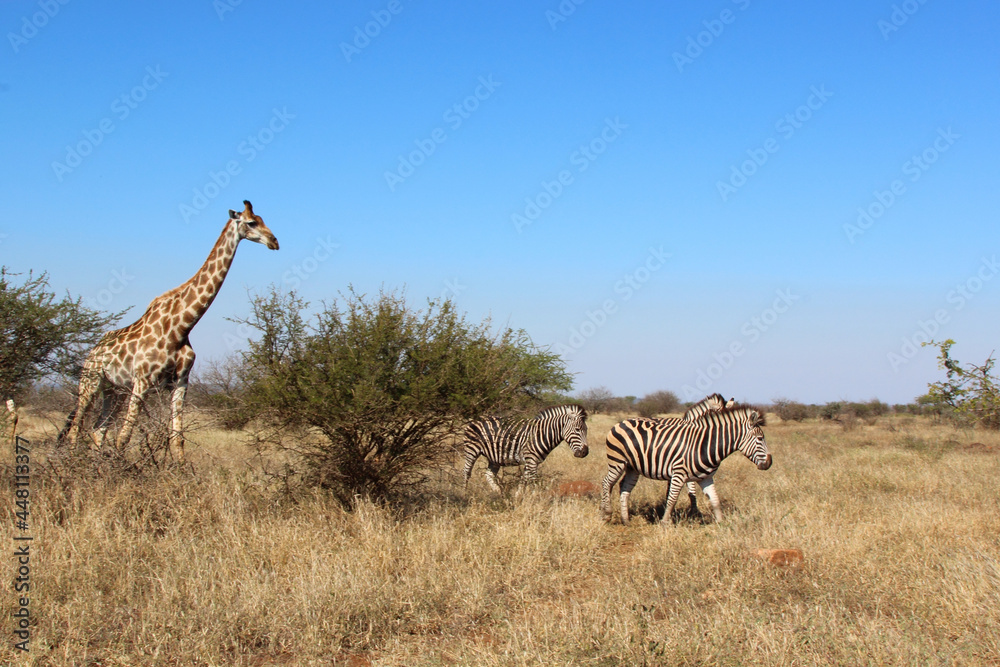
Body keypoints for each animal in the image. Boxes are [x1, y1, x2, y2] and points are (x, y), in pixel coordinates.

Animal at [64, 200, 279, 461]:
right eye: (251, 222)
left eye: (262, 219)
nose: (274, 241)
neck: (181, 327)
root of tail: (92, 351)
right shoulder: (142, 381)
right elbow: (123, 438)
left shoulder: (180, 382)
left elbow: (177, 438)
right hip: (91, 383)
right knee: (76, 430)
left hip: (115, 390)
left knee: (98, 429)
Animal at [601, 404, 771, 525]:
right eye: (760, 439)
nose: (769, 463)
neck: (705, 445)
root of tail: (621, 422)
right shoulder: (678, 473)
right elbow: (672, 499)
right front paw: (664, 523)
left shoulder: (706, 478)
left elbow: (715, 500)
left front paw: (722, 524)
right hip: (618, 461)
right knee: (606, 482)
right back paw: (606, 514)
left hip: (632, 467)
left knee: (624, 488)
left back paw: (625, 520)